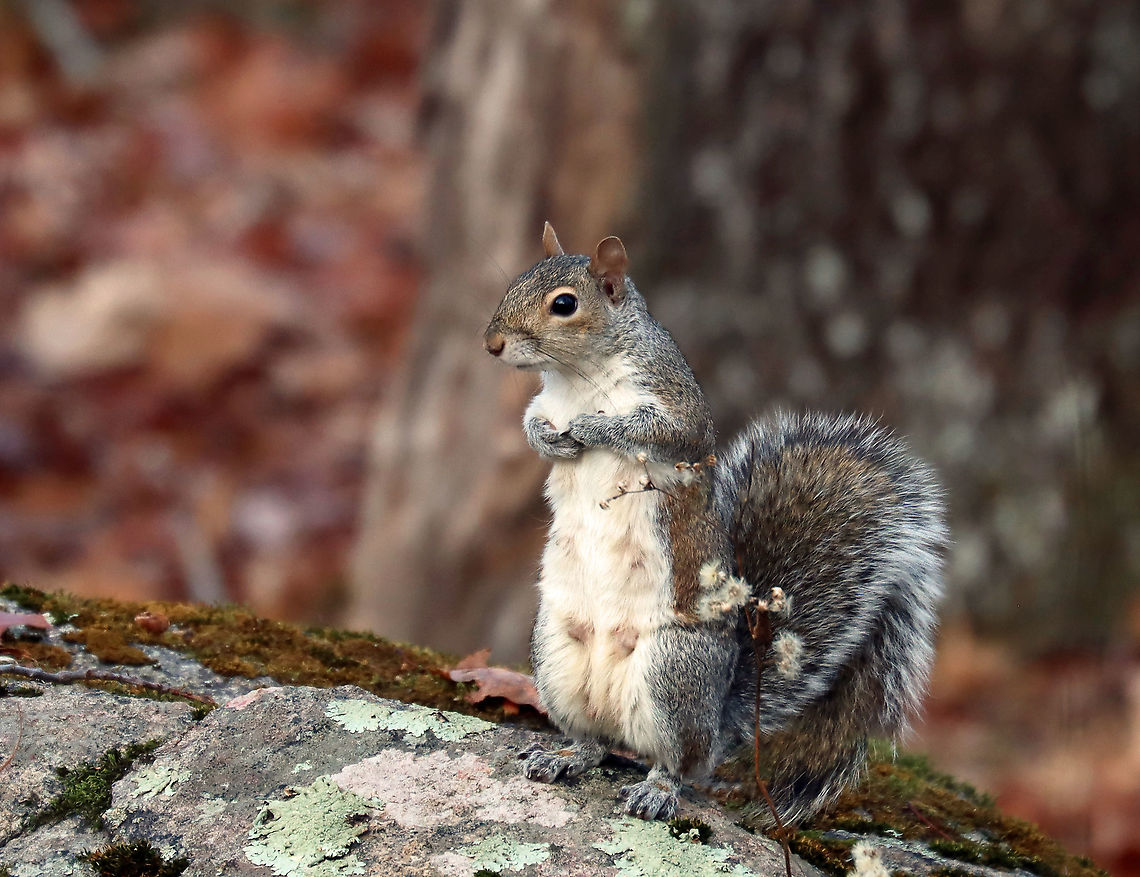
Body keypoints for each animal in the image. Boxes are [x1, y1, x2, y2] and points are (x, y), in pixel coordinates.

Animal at [482, 222, 947, 824]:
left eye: (564, 304)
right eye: (515, 281)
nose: (492, 343)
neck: (576, 377)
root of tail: (719, 724)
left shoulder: (677, 406)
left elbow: (662, 431)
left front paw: (591, 427)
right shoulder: (545, 401)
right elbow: (532, 423)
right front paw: (548, 437)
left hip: (673, 674)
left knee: (678, 762)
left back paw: (658, 789)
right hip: (555, 659)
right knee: (595, 741)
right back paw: (565, 756)